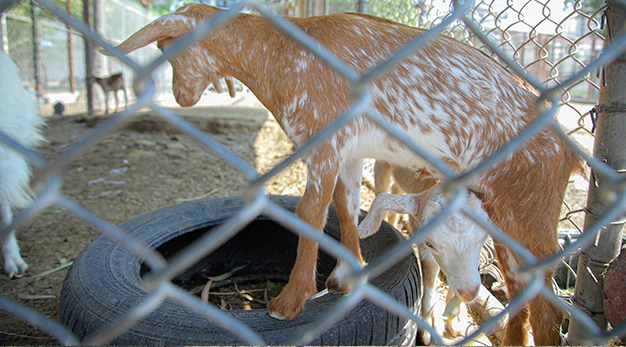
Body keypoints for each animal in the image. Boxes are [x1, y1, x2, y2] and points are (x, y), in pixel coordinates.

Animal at [106, 5, 580, 346]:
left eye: (168, 47)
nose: (182, 97)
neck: (281, 54)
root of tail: (568, 151)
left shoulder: (323, 141)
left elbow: (310, 210)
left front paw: (290, 301)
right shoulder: (349, 152)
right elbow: (346, 206)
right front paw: (346, 275)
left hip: (528, 214)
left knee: (548, 307)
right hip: (500, 214)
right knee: (522, 295)